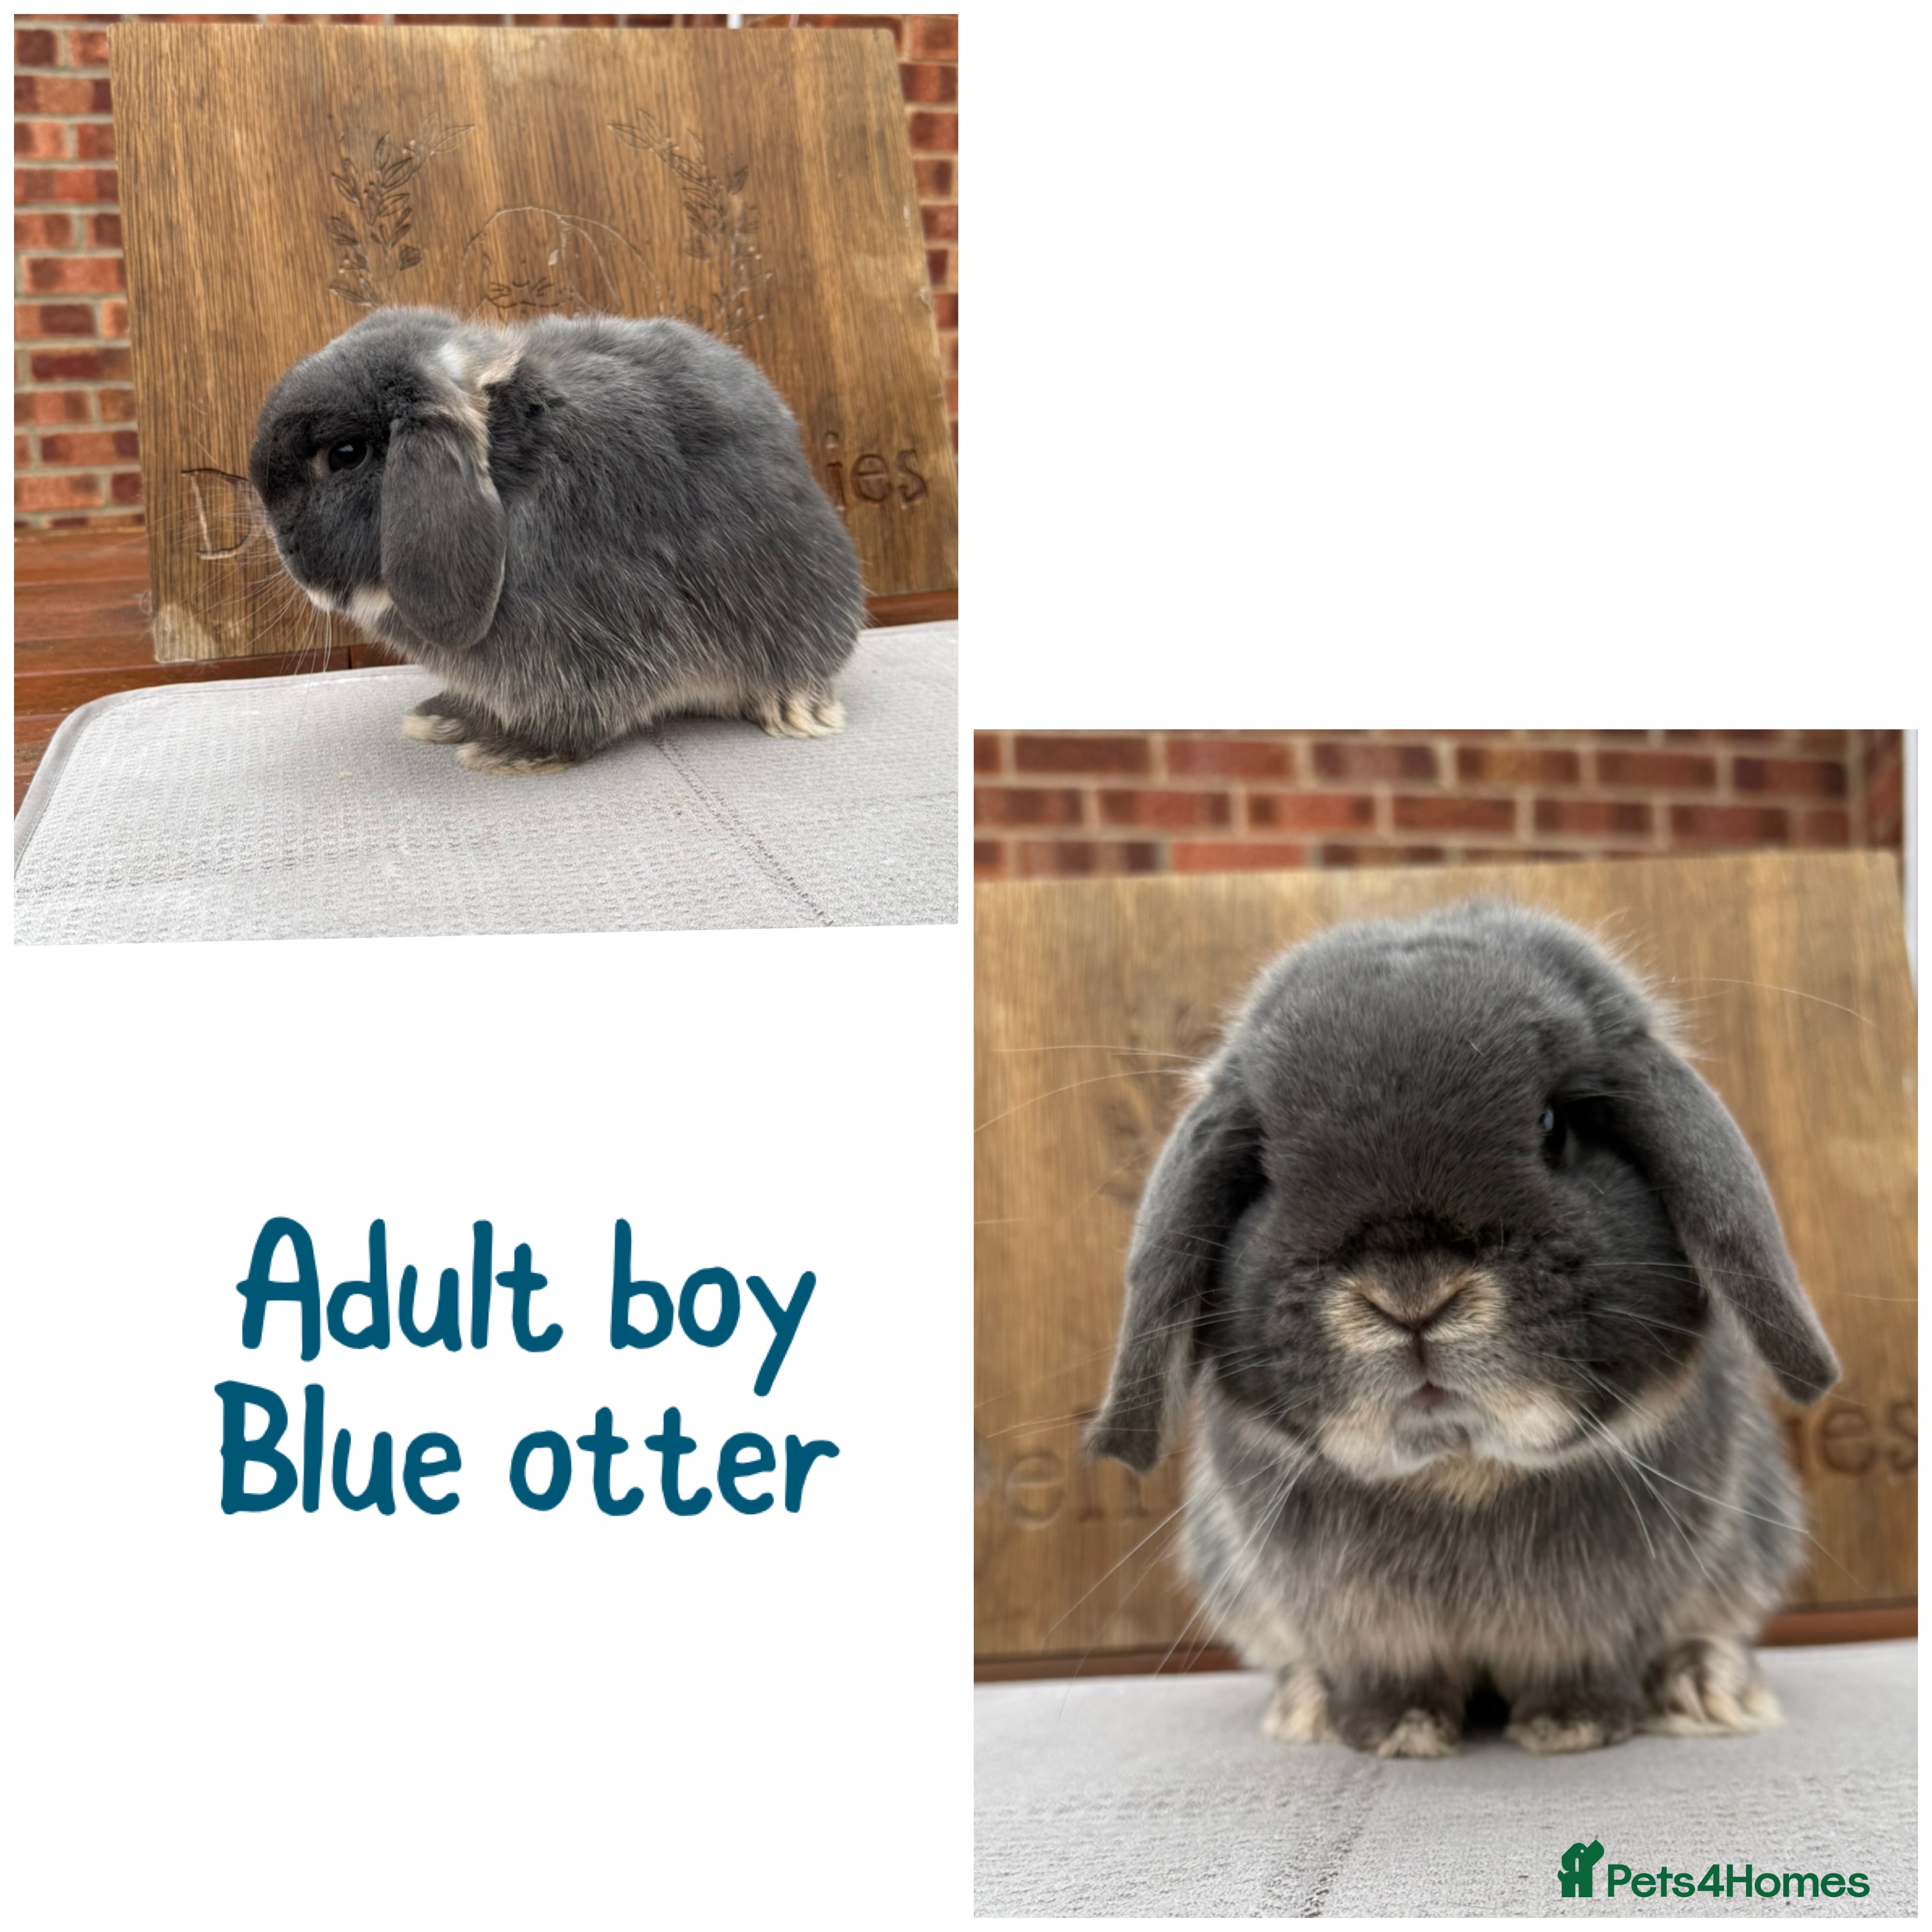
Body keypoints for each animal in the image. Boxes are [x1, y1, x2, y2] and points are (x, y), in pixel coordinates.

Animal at [248, 306, 866, 774]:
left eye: (345, 454)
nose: (286, 552)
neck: (509, 477)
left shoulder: (602, 641)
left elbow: (581, 714)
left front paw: (510, 750)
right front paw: (446, 716)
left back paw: (793, 705)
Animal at [1087, 897, 1840, 1758]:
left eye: (1554, 1126)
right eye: (1268, 1169)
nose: (1410, 1297)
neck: (1461, 1470)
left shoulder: (1595, 1626)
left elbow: (1586, 1667)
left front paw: (1573, 1726)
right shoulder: (1366, 1635)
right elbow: (1388, 1678)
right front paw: (1397, 1732)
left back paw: (1707, 1686)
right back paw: (1303, 1703)